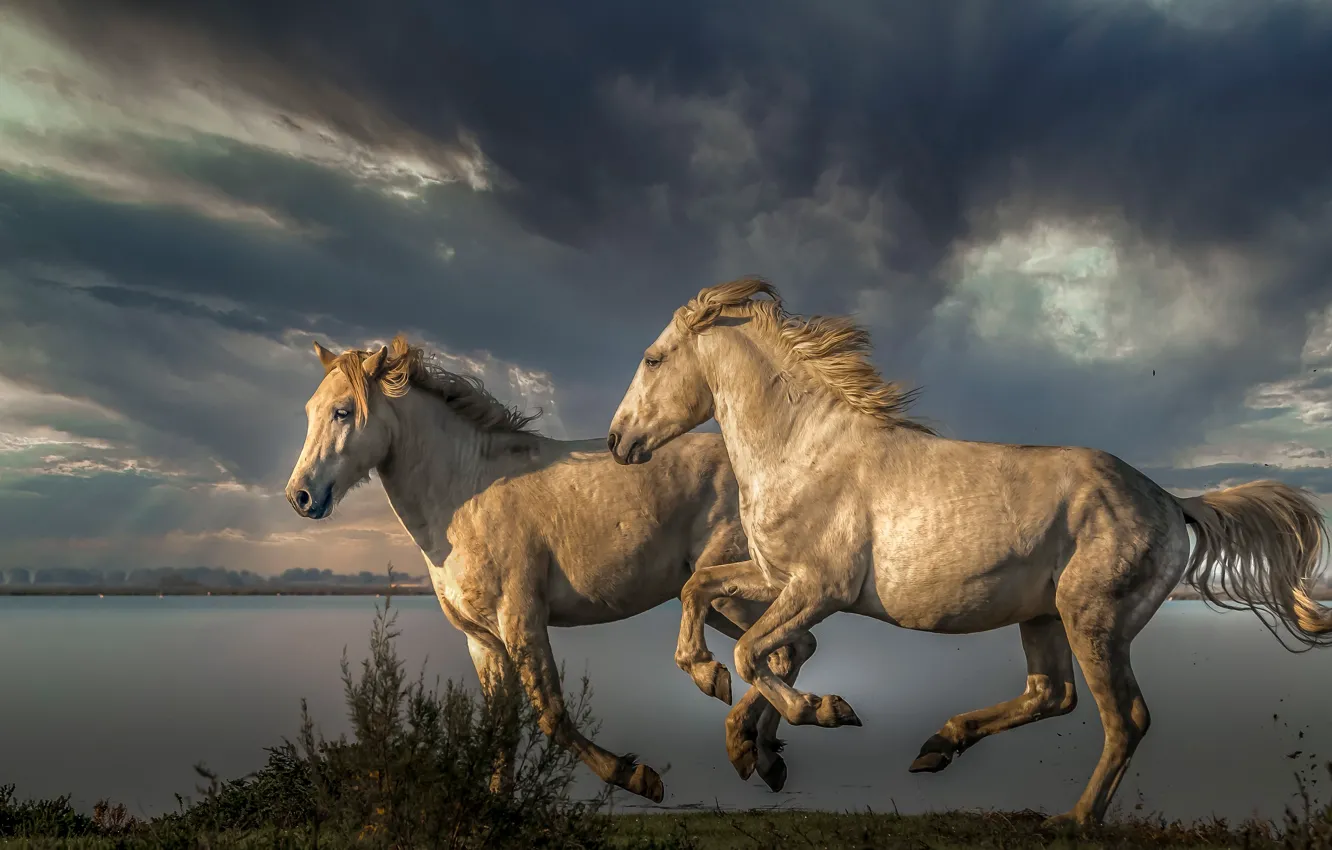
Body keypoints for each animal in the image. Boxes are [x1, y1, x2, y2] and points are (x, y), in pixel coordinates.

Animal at [283, 334, 816, 801]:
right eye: (308, 411)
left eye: (342, 411)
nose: (299, 496)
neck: (464, 494)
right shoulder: (483, 639)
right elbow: (501, 724)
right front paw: (497, 803)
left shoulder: (521, 621)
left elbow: (551, 714)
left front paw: (636, 777)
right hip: (723, 603)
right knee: (787, 649)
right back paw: (766, 753)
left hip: (732, 595)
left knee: (785, 649)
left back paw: (750, 737)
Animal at [605, 276, 1332, 826]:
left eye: (652, 358)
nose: (616, 442)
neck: (805, 450)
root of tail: (1169, 499)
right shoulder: (773, 576)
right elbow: (706, 596)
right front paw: (732, 721)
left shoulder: (819, 588)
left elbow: (754, 651)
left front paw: (821, 712)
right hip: (1043, 616)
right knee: (1051, 695)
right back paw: (937, 746)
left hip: (1092, 618)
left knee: (1124, 718)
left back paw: (1075, 819)